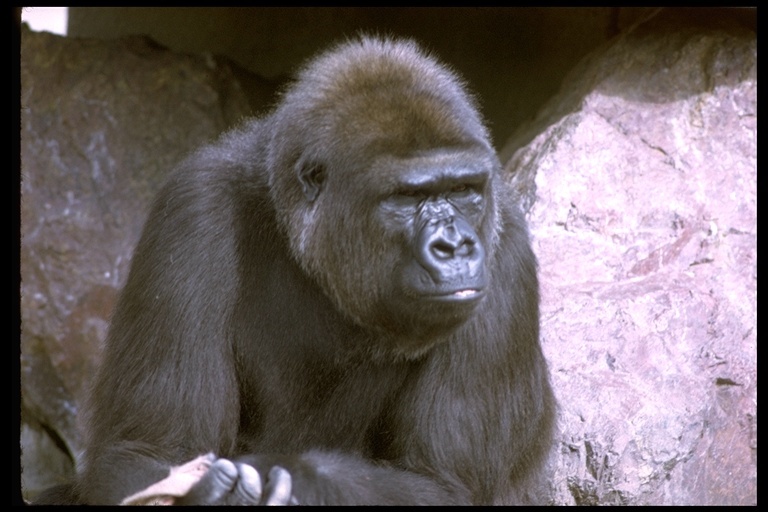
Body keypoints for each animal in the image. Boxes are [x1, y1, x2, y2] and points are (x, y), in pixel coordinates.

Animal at [39, 37, 556, 508]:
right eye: (407, 198)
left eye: (464, 189)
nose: (455, 246)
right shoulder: (193, 208)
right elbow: (143, 452)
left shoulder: (507, 258)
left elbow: (441, 486)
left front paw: (298, 480)